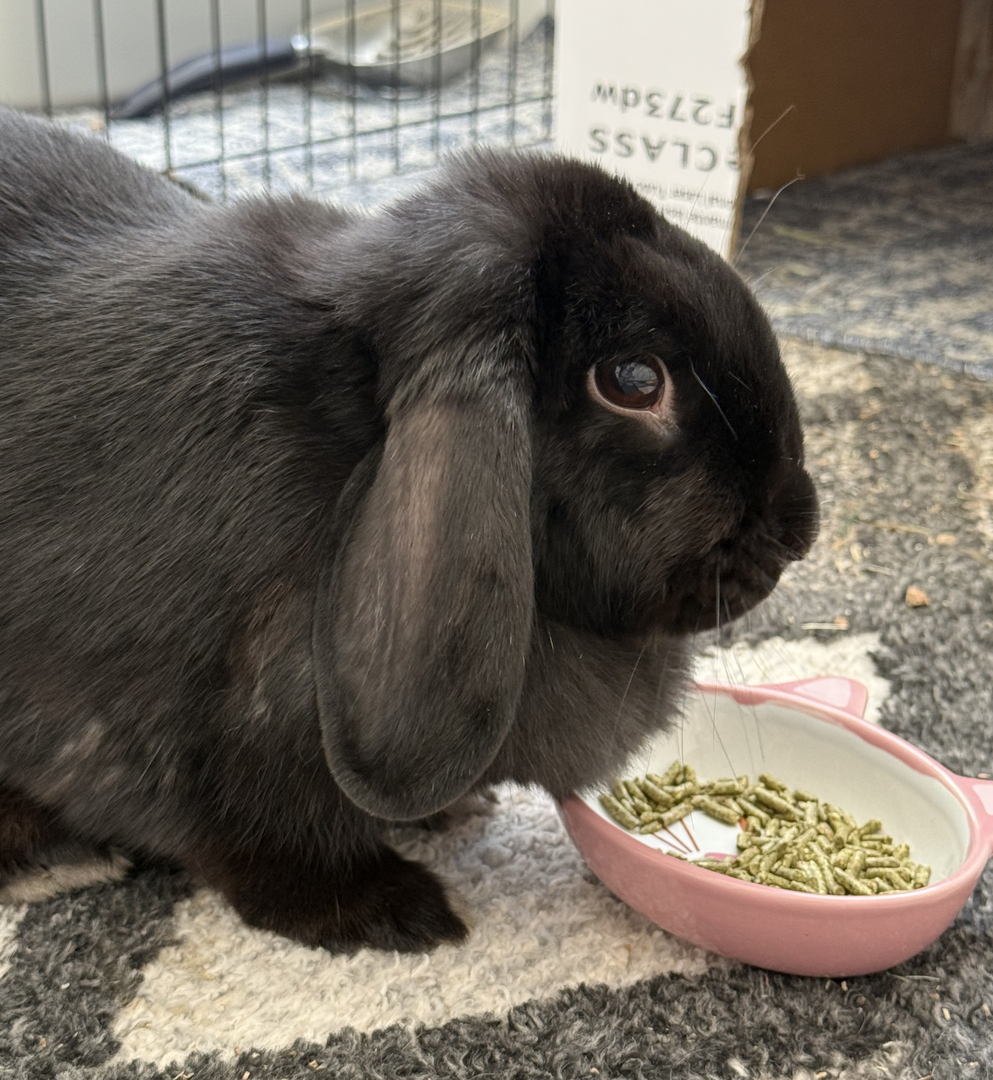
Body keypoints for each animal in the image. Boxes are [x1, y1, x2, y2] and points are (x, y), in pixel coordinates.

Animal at [0, 107, 818, 952]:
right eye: (632, 380)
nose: (796, 529)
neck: (349, 447)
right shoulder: (191, 739)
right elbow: (264, 842)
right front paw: (395, 912)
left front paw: (452, 811)